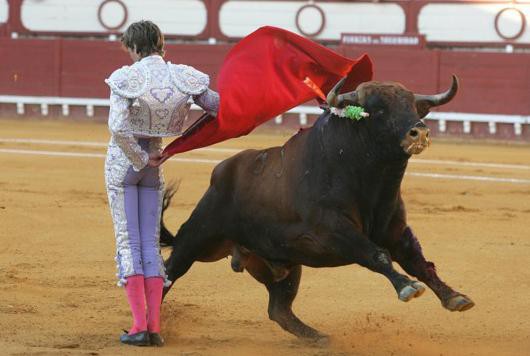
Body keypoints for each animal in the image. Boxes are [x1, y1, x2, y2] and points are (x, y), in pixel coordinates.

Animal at [159, 76, 472, 340]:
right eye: (378, 110)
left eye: (412, 106)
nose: (419, 132)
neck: (372, 181)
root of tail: (221, 173)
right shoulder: (333, 231)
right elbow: (377, 255)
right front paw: (406, 287)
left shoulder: (396, 231)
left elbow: (418, 262)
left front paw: (454, 297)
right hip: (196, 237)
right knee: (168, 273)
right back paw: (152, 330)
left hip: (284, 262)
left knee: (279, 309)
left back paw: (318, 338)